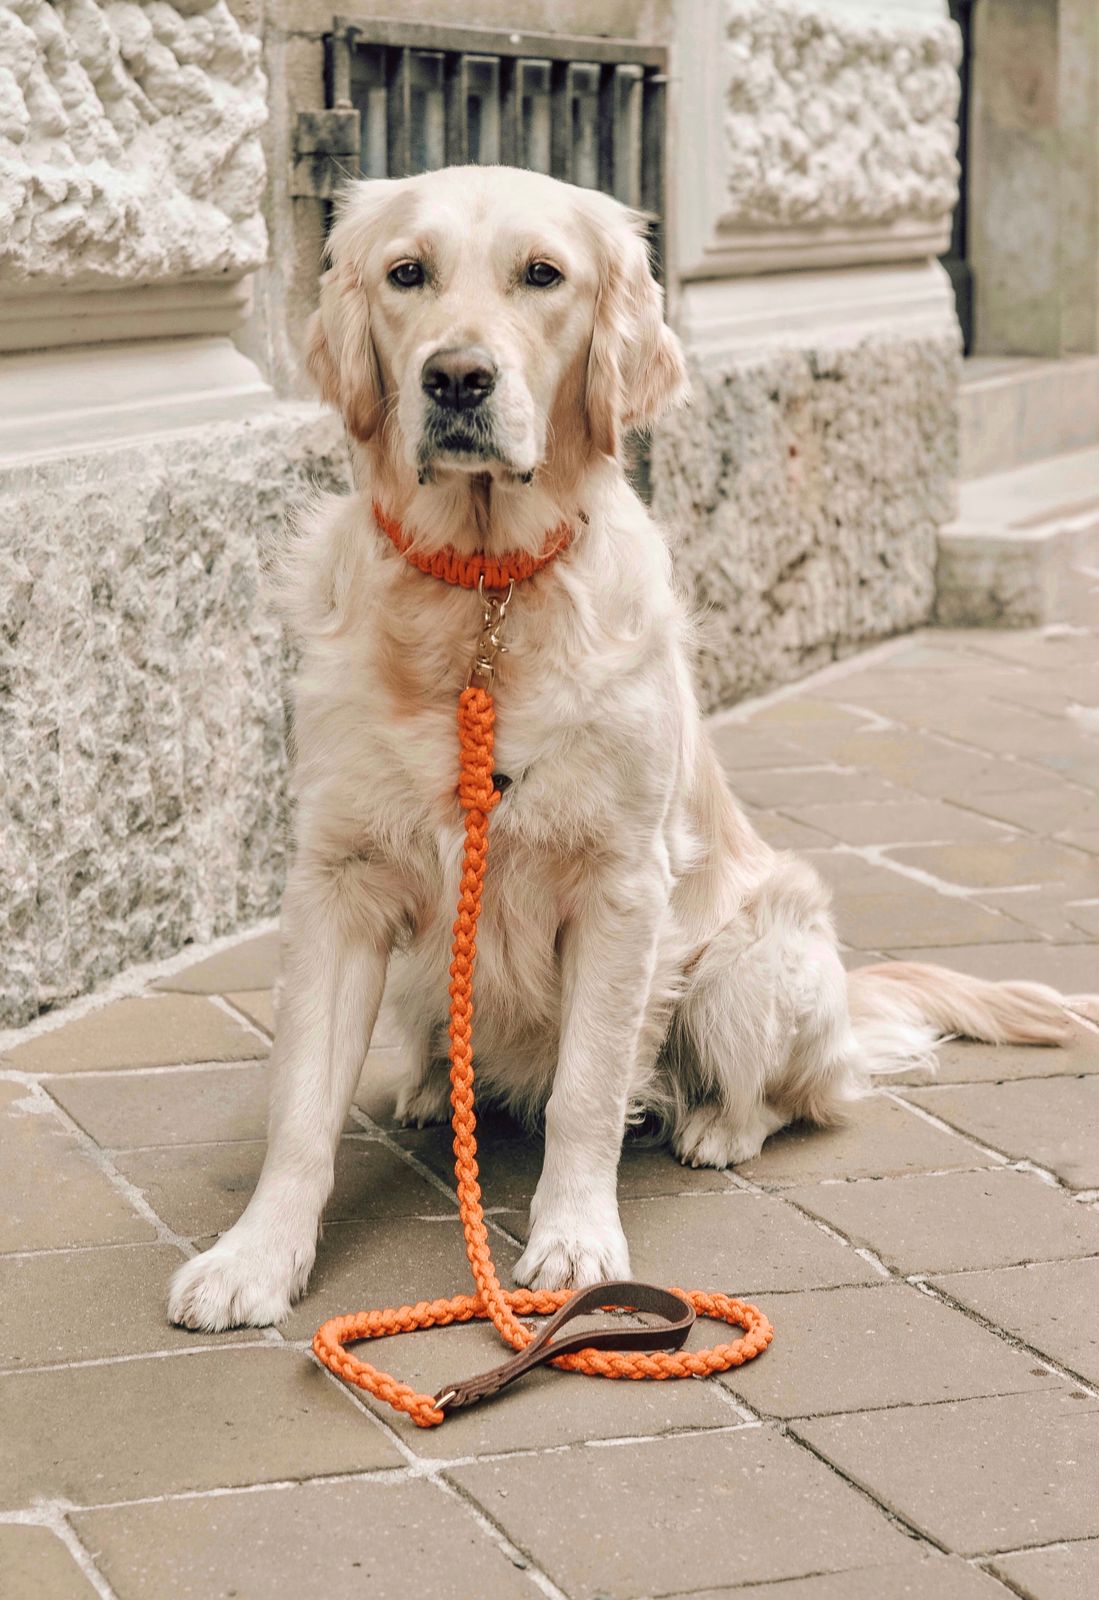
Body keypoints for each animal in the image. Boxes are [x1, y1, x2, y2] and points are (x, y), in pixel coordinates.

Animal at [169, 168, 1081, 1331]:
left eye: (542, 275)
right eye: (407, 272)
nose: (456, 378)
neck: (484, 599)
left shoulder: (617, 887)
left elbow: (589, 1090)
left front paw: (574, 1243)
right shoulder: (337, 878)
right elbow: (300, 1103)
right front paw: (255, 1256)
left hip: (751, 958)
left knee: (792, 1095)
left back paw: (713, 1126)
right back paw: (426, 1090)